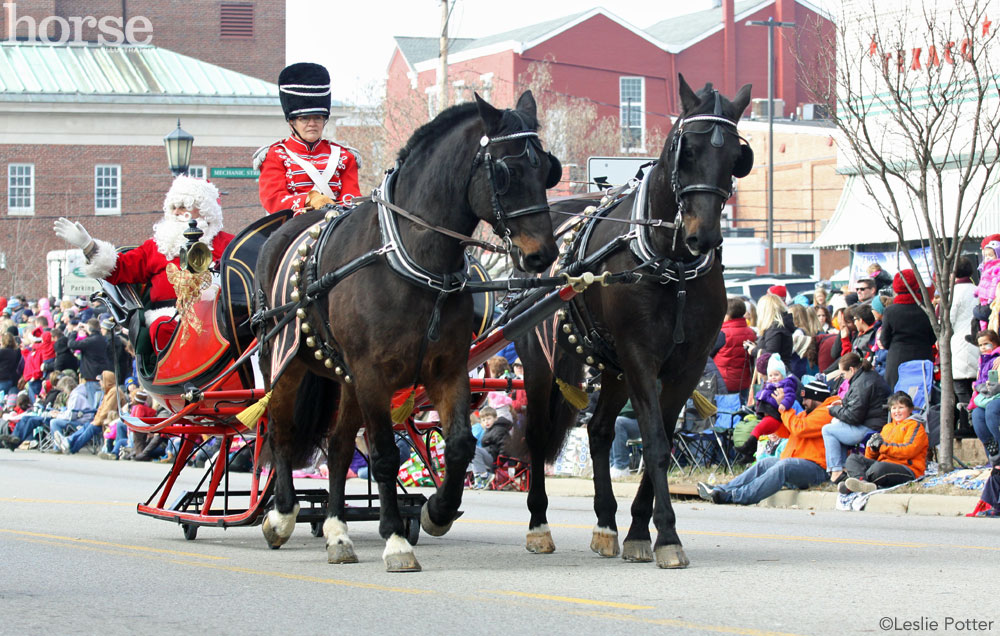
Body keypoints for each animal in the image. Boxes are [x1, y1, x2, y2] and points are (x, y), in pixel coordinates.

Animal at [254, 89, 560, 572]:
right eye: (504, 171)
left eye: (547, 168)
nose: (541, 255)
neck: (414, 262)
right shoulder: (372, 375)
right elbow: (383, 455)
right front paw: (396, 538)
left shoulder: (447, 370)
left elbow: (458, 445)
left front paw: (437, 511)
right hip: (285, 364)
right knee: (280, 431)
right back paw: (282, 515)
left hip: (344, 379)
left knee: (338, 448)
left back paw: (338, 532)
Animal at [516, 77, 752, 568]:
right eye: (686, 149)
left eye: (737, 158)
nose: (703, 236)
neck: (671, 265)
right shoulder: (640, 355)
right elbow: (657, 444)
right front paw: (667, 535)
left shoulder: (684, 365)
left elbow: (659, 439)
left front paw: (641, 532)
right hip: (541, 363)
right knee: (537, 435)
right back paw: (539, 525)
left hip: (612, 366)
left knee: (599, 430)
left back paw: (606, 524)